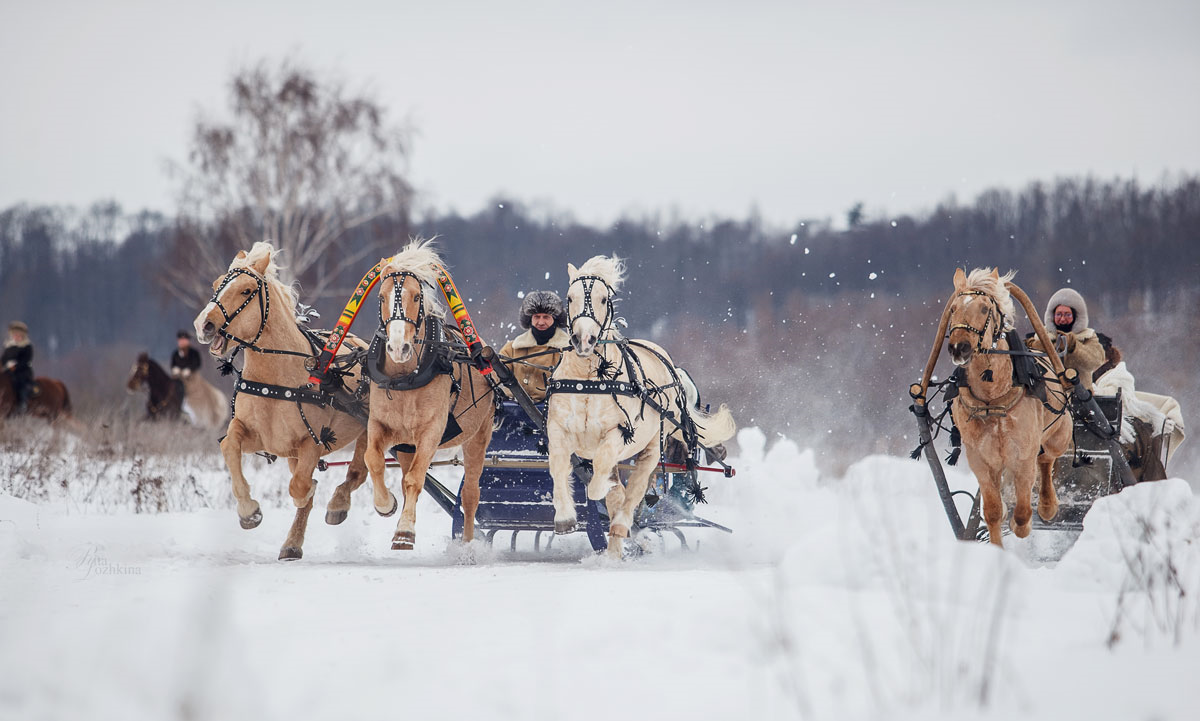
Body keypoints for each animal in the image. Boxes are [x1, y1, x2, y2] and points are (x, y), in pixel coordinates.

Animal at [193, 238, 369, 559]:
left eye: (246, 290)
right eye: (215, 284)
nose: (204, 325)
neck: (275, 380)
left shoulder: (311, 442)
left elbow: (299, 488)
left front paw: (310, 490)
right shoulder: (262, 438)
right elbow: (229, 446)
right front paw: (249, 511)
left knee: (360, 470)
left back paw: (345, 505)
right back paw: (292, 543)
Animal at [364, 238, 496, 549]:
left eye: (415, 297)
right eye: (382, 297)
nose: (397, 347)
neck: (404, 378)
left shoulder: (431, 431)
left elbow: (415, 479)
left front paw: (404, 532)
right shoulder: (380, 424)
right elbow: (373, 460)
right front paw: (385, 505)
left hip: (478, 436)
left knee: (470, 495)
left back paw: (467, 546)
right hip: (405, 445)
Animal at [549, 253, 734, 556]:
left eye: (603, 299)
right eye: (570, 297)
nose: (584, 340)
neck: (588, 379)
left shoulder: (618, 435)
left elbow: (602, 477)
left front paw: (602, 492)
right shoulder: (558, 429)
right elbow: (558, 466)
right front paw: (565, 517)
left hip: (653, 446)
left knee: (636, 488)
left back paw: (623, 528)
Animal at [940, 268, 1075, 544]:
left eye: (984, 308)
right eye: (954, 308)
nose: (959, 347)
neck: (992, 398)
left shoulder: (1023, 454)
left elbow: (1023, 514)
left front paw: (1019, 522)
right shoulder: (980, 458)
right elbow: (992, 510)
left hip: (1059, 434)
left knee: (1047, 459)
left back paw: (1048, 505)